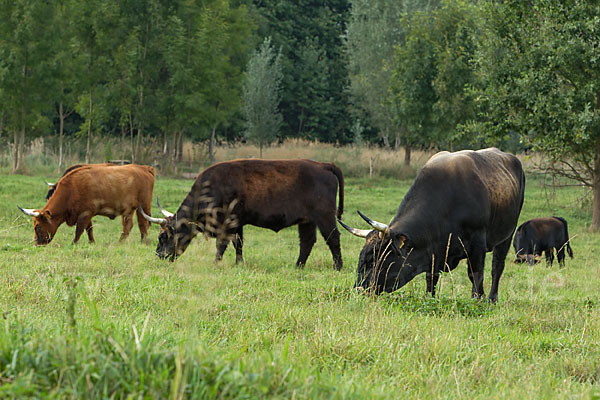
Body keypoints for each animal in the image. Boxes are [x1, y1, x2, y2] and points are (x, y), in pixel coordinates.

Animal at [18, 164, 155, 245]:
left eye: (37, 227)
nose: (37, 244)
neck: (71, 188)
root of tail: (144, 168)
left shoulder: (85, 214)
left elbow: (79, 230)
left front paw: (74, 243)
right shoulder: (86, 214)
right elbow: (89, 229)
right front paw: (92, 242)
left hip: (143, 206)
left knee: (143, 224)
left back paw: (143, 241)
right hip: (128, 210)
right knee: (128, 226)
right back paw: (120, 242)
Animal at [141, 159, 344, 268]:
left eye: (163, 236)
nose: (159, 256)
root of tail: (322, 165)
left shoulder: (226, 223)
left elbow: (222, 244)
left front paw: (216, 263)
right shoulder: (237, 224)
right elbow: (237, 243)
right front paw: (239, 263)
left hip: (325, 217)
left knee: (333, 238)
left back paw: (338, 267)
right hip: (307, 221)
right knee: (307, 242)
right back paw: (298, 266)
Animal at [338, 148, 524, 302]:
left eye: (374, 259)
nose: (359, 289)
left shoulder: (477, 242)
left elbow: (476, 273)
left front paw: (477, 299)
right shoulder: (432, 249)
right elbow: (431, 276)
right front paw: (429, 297)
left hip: (507, 235)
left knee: (497, 267)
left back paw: (492, 298)